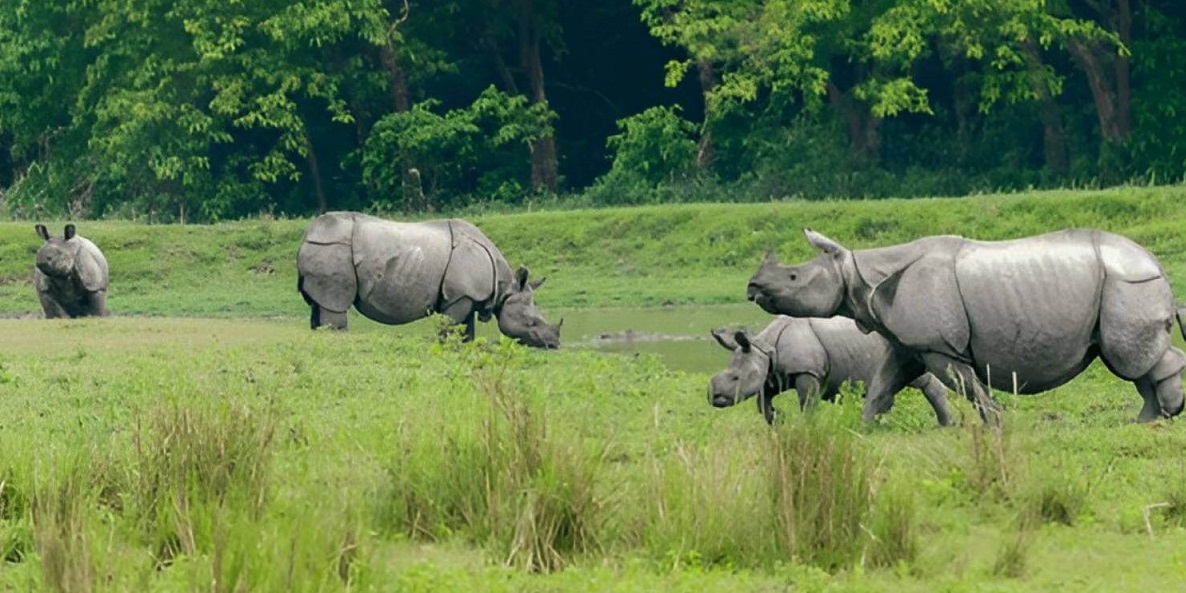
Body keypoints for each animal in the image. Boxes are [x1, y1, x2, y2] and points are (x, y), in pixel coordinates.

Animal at [297, 211, 561, 348]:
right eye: (532, 323)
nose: (555, 344)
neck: (506, 287)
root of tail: (306, 237)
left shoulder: (467, 296)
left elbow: (466, 328)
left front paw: (464, 346)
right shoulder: (460, 295)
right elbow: (450, 325)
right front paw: (445, 346)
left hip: (325, 250)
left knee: (318, 306)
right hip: (332, 249)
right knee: (335, 304)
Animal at [709, 315, 952, 426]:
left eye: (735, 378)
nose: (713, 397)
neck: (765, 348)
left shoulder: (807, 371)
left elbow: (807, 402)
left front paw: (807, 425)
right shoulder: (773, 373)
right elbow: (763, 403)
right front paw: (778, 420)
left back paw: (946, 425)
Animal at [746, 228, 1186, 425]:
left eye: (792, 278)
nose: (752, 287)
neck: (858, 274)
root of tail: (1156, 262)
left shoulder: (939, 346)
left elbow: (969, 386)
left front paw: (995, 425)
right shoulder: (910, 344)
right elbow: (882, 387)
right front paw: (864, 428)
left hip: (1128, 283)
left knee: (1128, 359)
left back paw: (1156, 418)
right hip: (1125, 282)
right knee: (1134, 362)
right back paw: (1149, 420)